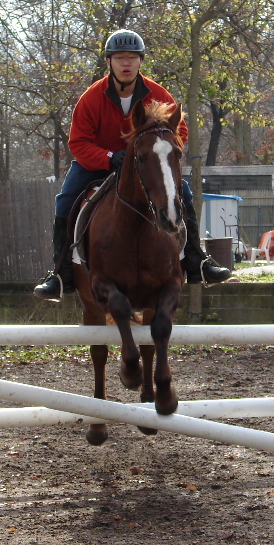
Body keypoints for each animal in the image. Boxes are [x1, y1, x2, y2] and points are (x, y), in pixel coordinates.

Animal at [73, 100, 187, 444]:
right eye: (141, 157)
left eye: (178, 154)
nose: (169, 217)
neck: (137, 227)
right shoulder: (100, 287)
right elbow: (121, 309)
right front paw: (129, 372)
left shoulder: (170, 286)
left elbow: (160, 330)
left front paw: (165, 397)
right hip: (90, 306)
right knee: (98, 353)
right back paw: (98, 424)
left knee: (149, 343)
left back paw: (149, 409)